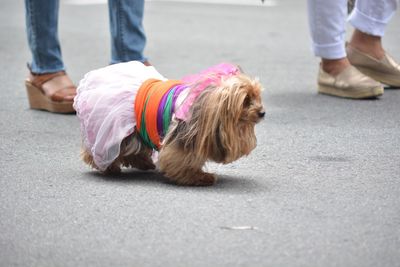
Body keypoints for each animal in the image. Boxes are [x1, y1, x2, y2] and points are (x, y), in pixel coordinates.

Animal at [75, 62, 264, 186]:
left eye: (257, 97)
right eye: (246, 101)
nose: (262, 112)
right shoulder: (181, 144)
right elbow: (180, 161)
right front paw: (198, 176)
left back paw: (143, 163)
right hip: (122, 128)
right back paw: (106, 165)